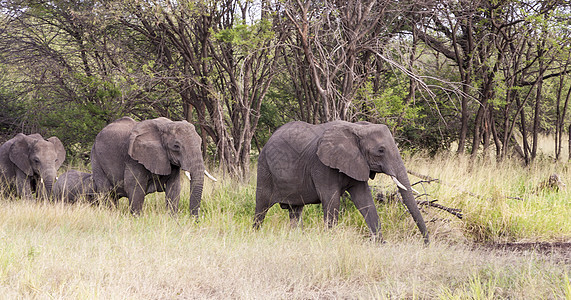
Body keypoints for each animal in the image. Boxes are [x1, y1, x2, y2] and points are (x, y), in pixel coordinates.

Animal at [254, 120, 428, 244]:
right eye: (381, 150)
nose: (427, 243)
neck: (356, 128)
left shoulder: (358, 162)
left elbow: (364, 200)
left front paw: (381, 243)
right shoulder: (321, 165)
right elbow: (331, 200)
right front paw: (330, 241)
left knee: (295, 211)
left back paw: (297, 238)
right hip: (264, 169)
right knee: (261, 207)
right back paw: (256, 235)